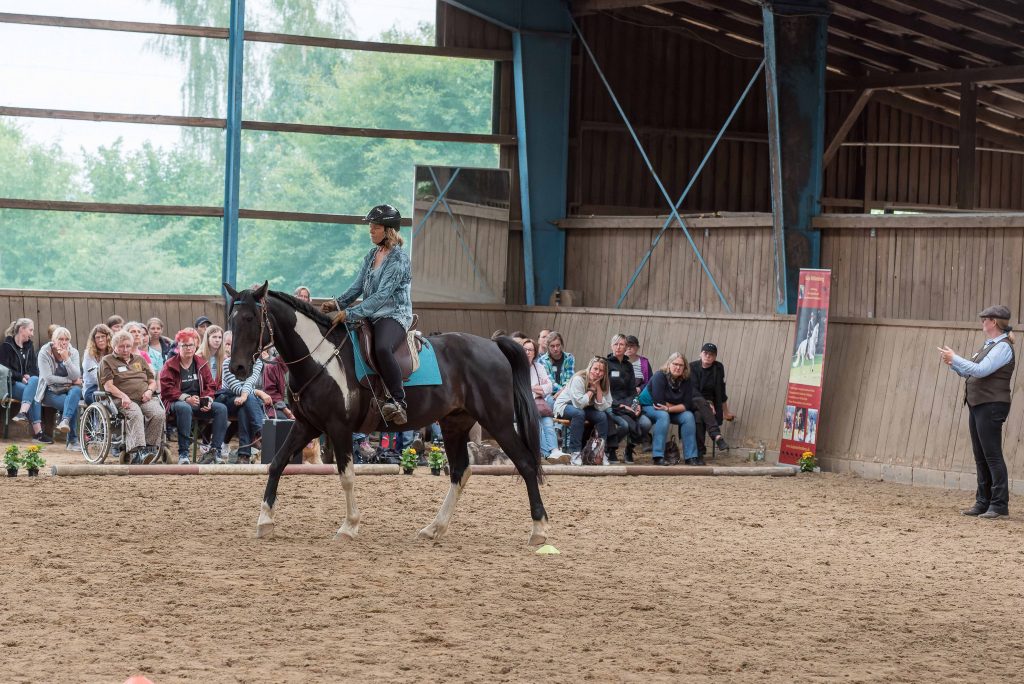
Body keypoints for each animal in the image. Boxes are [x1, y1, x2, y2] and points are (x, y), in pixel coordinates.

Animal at [221, 282, 548, 544]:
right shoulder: (306, 426)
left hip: (499, 421)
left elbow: (346, 476)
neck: (320, 358)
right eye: (232, 320)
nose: (238, 367)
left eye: (251, 318)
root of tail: (493, 345)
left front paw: (349, 527)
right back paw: (434, 528)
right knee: (460, 471)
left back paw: (539, 530)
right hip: (454, 424)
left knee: (525, 464)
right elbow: (276, 464)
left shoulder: (338, 427)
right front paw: (265, 522)